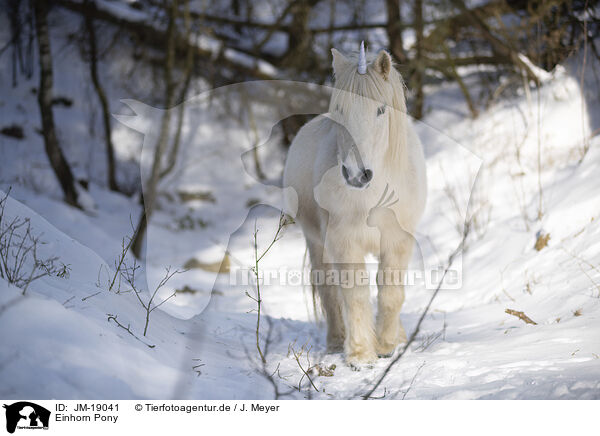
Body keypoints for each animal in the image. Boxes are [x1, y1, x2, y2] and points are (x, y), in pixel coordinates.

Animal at [282, 42, 426, 368]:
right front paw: (361, 355)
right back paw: (337, 342)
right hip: (317, 243)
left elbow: (390, 293)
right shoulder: (344, 242)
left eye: (381, 110)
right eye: (341, 110)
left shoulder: (398, 242)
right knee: (329, 291)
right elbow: (355, 294)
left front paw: (386, 345)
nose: (356, 174)